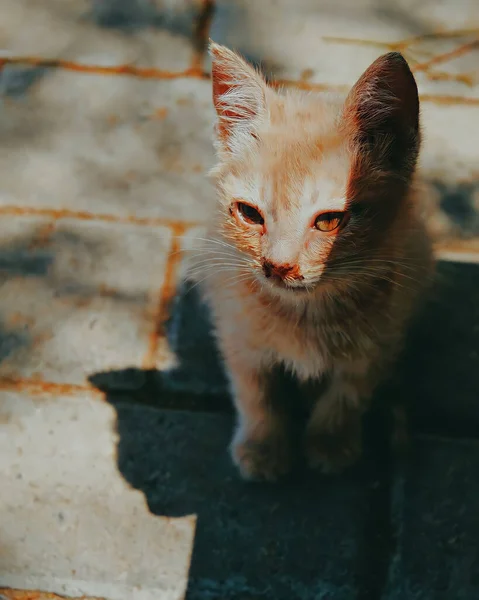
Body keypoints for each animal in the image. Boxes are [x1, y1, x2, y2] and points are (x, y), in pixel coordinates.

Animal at [190, 42, 436, 480]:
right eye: (249, 214)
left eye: (329, 221)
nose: (277, 266)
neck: (305, 315)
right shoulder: (236, 327)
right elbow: (254, 388)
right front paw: (262, 444)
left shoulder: (383, 335)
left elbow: (350, 391)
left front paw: (331, 440)